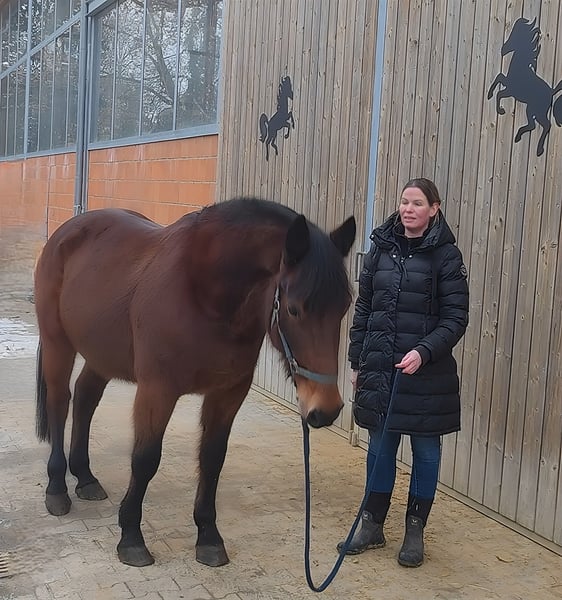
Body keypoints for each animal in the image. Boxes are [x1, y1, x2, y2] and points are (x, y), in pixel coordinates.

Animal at [34, 197, 356, 569]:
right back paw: (57, 488)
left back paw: (85, 477)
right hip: (58, 344)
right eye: (293, 308)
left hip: (101, 353)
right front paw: (131, 537)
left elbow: (212, 458)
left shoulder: (228, 393)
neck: (205, 293)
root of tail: (66, 232)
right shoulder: (157, 390)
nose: (326, 409)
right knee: (60, 402)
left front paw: (209, 537)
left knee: (85, 398)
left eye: (344, 307)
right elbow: (145, 459)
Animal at [487, 17, 562, 156]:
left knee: (545, 125)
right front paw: (493, 99)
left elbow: (499, 86)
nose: (503, 49)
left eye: (517, 37)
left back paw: (537, 148)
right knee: (534, 125)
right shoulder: (508, 87)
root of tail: (551, 92)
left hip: (536, 111)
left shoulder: (511, 90)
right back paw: (520, 137)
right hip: (532, 110)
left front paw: (499, 107)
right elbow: (499, 80)